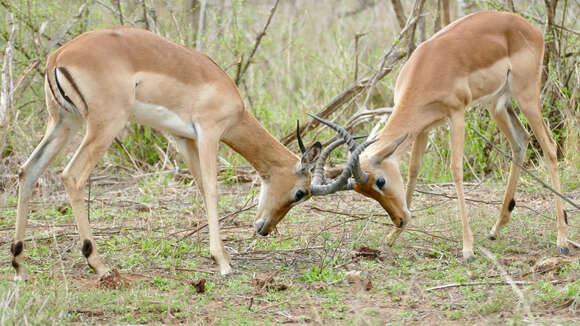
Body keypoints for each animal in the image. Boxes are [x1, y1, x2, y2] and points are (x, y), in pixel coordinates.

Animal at [10, 26, 362, 278]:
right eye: (300, 193)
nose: (264, 229)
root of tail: (58, 56)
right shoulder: (208, 133)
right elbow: (212, 188)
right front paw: (223, 262)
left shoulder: (182, 138)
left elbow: (199, 186)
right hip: (104, 126)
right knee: (72, 175)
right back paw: (98, 263)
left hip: (62, 123)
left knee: (28, 170)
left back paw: (18, 262)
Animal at [266, 11, 568, 262]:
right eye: (364, 192)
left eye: (380, 181)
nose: (399, 219)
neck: (427, 69)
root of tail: (528, 27)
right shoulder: (425, 126)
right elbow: (413, 169)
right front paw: (393, 236)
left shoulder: (456, 114)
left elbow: (455, 170)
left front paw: (467, 250)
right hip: (498, 103)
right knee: (521, 142)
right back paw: (496, 229)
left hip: (525, 94)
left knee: (550, 147)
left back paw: (562, 240)